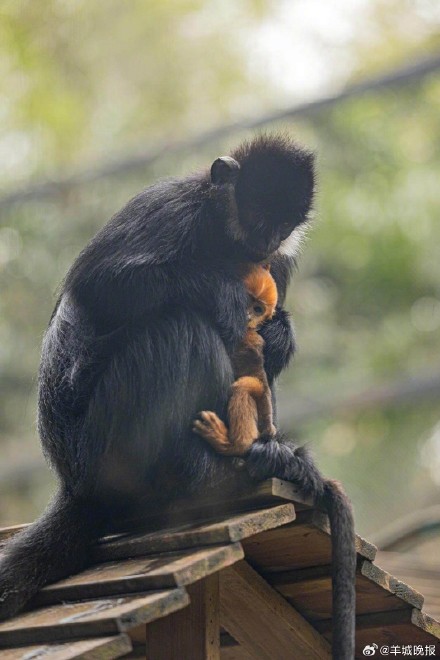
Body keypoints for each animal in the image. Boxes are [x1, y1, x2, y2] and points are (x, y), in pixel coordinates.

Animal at [0, 135, 354, 660]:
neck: (224, 242)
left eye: (284, 227)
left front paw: (280, 335)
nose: (267, 242)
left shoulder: (278, 264)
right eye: (257, 217)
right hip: (104, 446)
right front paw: (222, 295)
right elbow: (96, 283)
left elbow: (267, 348)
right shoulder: (169, 206)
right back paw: (204, 469)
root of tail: (76, 484)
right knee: (178, 325)